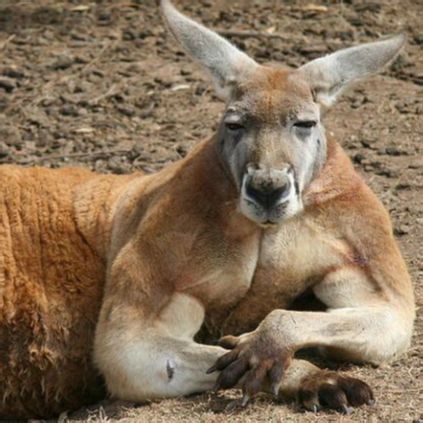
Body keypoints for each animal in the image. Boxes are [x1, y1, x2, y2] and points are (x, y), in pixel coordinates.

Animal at [0, 0, 415, 418]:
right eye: (234, 124)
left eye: (305, 123)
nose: (267, 190)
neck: (265, 227)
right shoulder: (165, 241)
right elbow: (127, 350)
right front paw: (305, 373)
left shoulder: (353, 230)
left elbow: (390, 317)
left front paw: (268, 346)